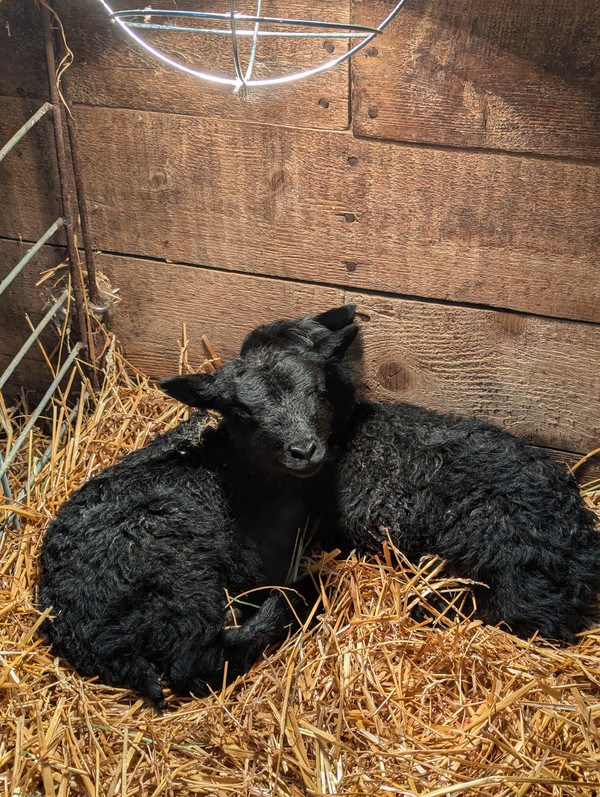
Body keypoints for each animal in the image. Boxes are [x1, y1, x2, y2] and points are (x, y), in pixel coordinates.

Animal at [38, 308, 358, 709]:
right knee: (197, 665)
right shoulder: (257, 562)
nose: (303, 450)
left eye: (318, 390)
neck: (233, 472)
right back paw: (304, 593)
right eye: (242, 414)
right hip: (183, 577)